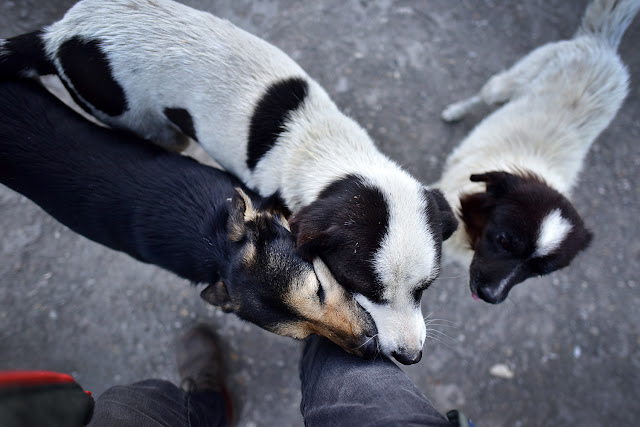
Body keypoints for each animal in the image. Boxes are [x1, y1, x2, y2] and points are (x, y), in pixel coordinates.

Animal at [0, 0, 460, 364]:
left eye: (426, 288)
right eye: (361, 287)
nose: (410, 357)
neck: (328, 151)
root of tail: (56, 34)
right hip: (145, 123)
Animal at [432, 0, 636, 304]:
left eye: (540, 272)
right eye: (504, 241)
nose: (491, 297)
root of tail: (601, 43)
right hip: (507, 83)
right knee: (485, 95)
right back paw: (455, 111)